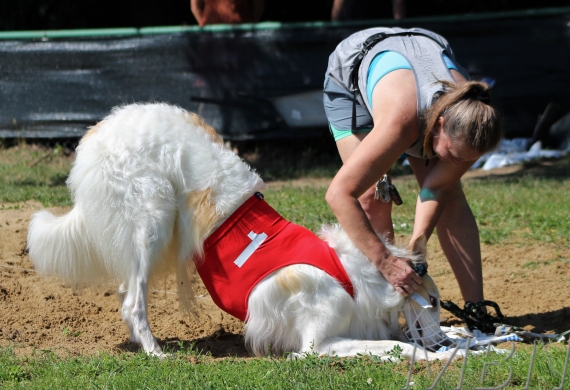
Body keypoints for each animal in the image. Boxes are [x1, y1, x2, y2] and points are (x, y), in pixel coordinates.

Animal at [26, 103, 452, 360]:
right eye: (432, 303)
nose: (445, 339)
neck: (354, 273)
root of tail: (97, 131)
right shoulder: (318, 343)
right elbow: (399, 346)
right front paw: (442, 354)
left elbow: (396, 341)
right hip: (152, 221)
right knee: (132, 302)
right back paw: (156, 352)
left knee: (125, 292)